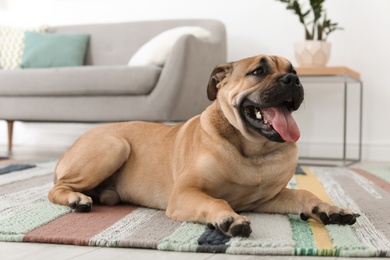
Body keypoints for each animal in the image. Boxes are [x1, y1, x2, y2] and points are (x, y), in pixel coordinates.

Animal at [47, 54, 358, 238]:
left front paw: (330, 209)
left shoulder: (269, 198)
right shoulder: (185, 192)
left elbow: (304, 193)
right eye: (258, 71)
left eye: (293, 70)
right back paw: (76, 199)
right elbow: (216, 200)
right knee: (56, 188)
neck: (254, 150)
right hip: (114, 146)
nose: (293, 79)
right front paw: (228, 217)